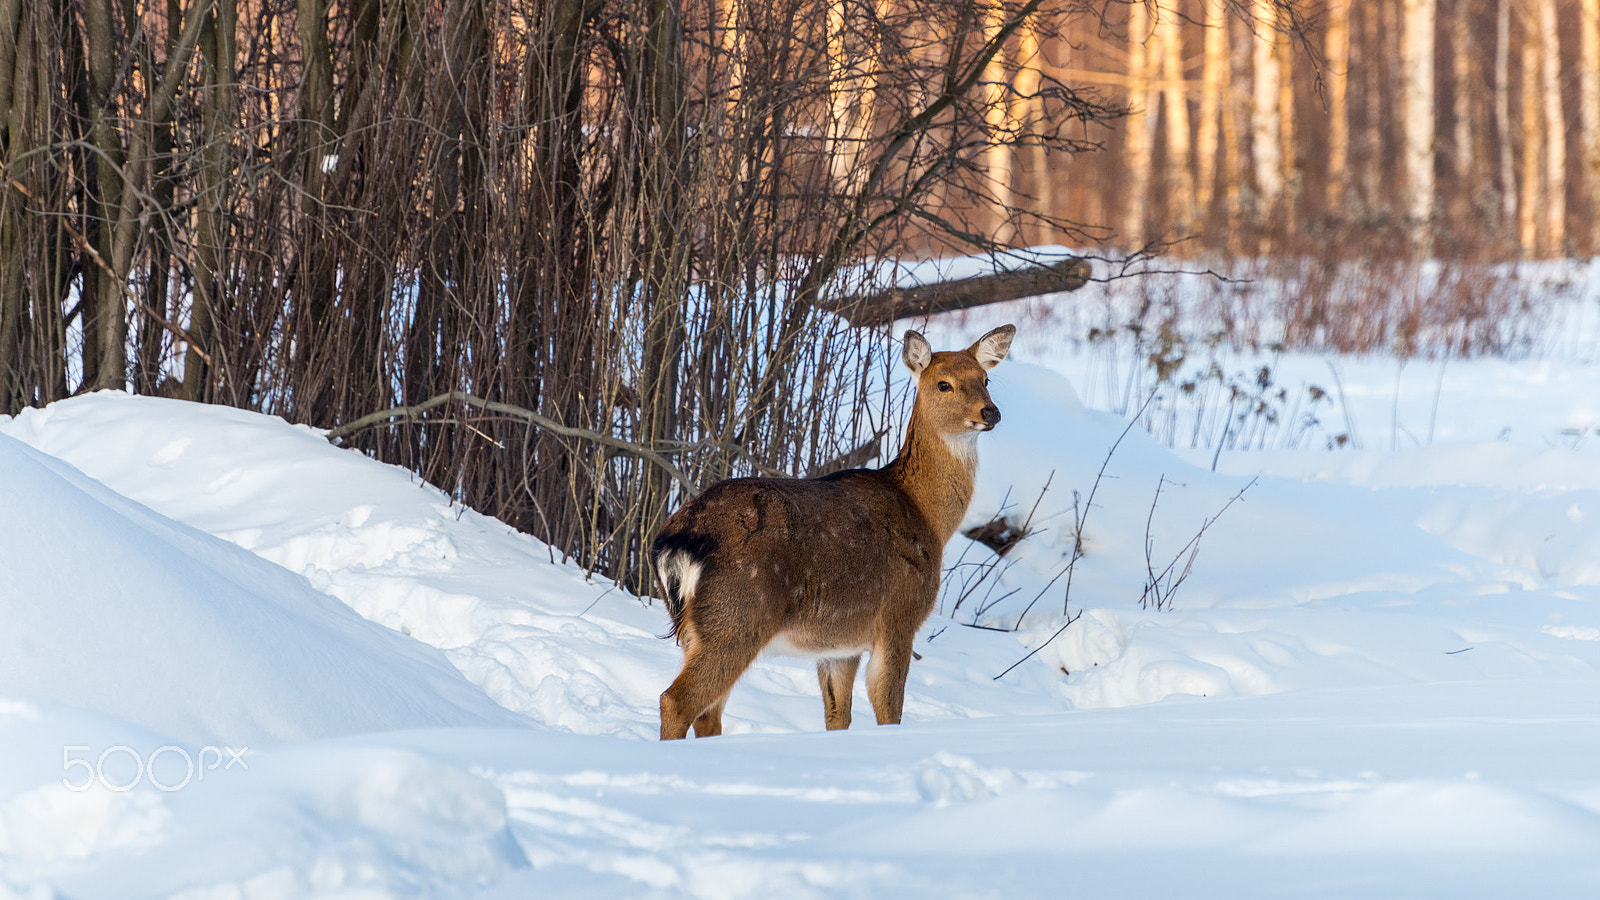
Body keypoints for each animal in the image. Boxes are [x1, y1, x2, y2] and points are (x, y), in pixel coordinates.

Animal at [651, 324, 1015, 739]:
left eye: (985, 379)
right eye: (944, 384)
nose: (990, 412)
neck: (927, 516)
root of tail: (676, 541)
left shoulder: (840, 645)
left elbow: (838, 716)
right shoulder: (898, 614)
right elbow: (889, 708)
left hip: (696, 629)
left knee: (707, 714)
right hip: (738, 614)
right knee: (677, 701)